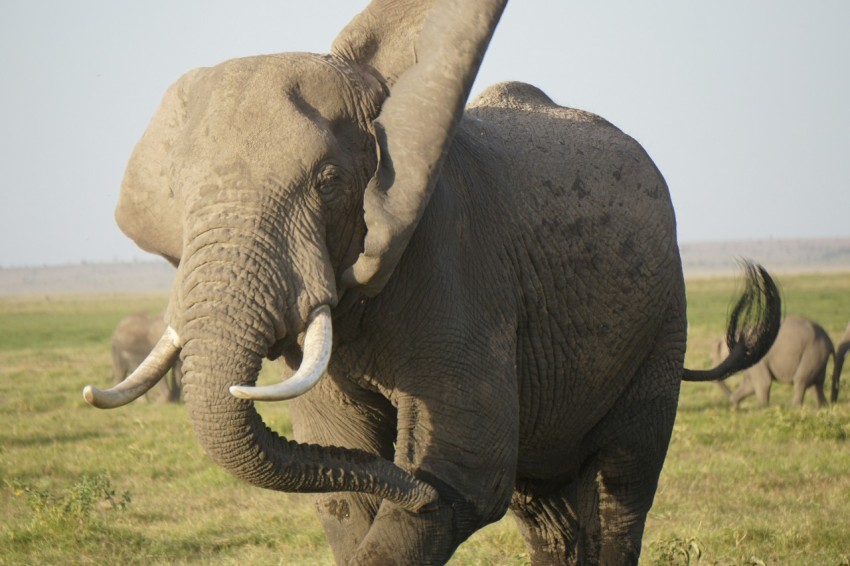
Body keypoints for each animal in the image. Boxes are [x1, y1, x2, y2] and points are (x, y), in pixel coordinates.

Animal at [83, 2, 780, 564]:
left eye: (329, 181)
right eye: (179, 196)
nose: (409, 483)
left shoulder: (456, 261)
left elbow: (466, 473)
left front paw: (426, 488)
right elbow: (345, 475)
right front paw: (395, 486)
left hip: (663, 314)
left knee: (621, 484)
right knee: (543, 509)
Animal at [704, 318, 840, 410]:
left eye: (712, 358)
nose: (734, 404)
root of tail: (829, 341)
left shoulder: (755, 357)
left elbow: (763, 382)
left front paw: (762, 408)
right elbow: (749, 385)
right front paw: (735, 406)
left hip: (812, 354)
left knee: (801, 381)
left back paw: (793, 407)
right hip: (817, 358)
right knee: (815, 385)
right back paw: (822, 407)